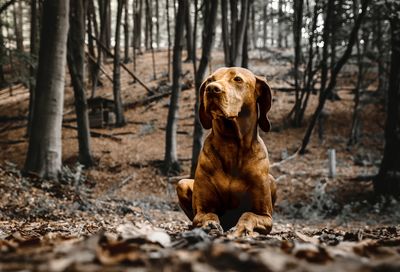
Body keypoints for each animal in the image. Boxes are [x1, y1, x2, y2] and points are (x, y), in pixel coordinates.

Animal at [177, 67, 276, 236]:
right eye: (210, 80)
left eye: (238, 79)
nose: (211, 89)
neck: (231, 144)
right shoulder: (202, 210)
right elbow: (208, 215)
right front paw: (210, 225)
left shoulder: (265, 215)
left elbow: (248, 214)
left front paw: (241, 228)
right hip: (182, 183)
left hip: (272, 181)